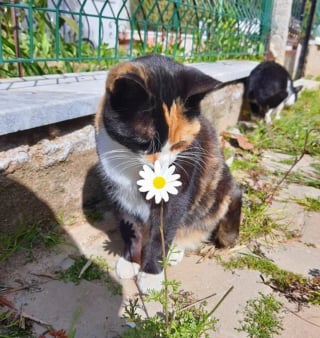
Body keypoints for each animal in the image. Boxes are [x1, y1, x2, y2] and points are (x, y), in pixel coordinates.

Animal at [95, 55, 242, 294]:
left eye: (179, 144)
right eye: (144, 143)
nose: (161, 166)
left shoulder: (177, 192)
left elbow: (162, 233)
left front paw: (150, 274)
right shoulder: (118, 189)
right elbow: (130, 225)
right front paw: (130, 260)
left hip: (218, 187)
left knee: (233, 195)